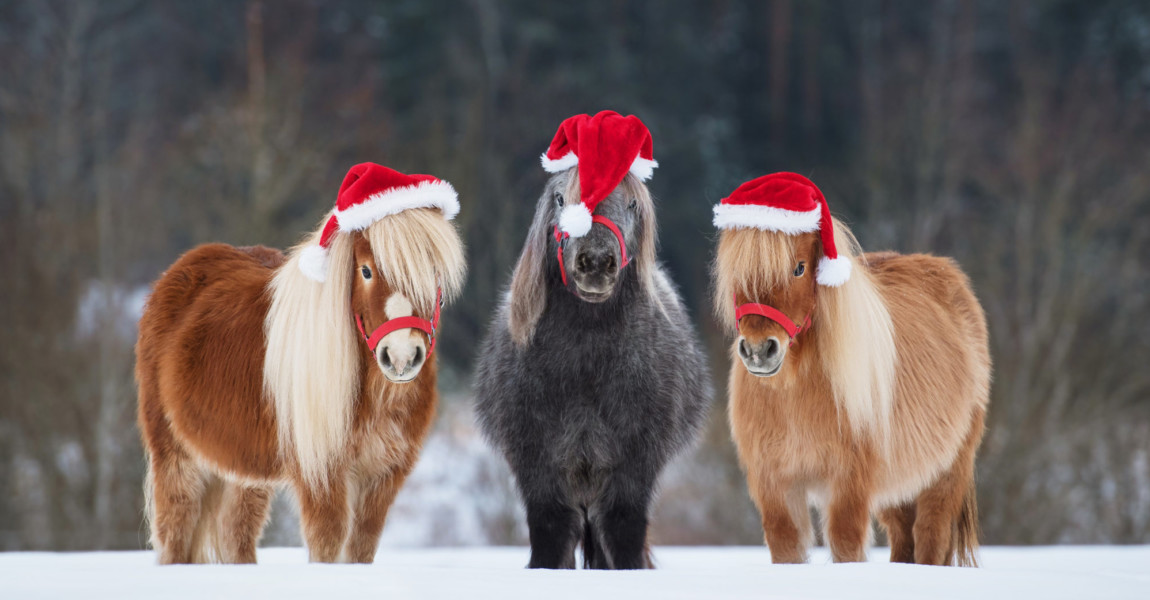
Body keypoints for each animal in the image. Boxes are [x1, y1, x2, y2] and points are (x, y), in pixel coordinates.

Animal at [708, 170, 989, 563]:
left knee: (931, 536)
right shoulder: (775, 485)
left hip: (946, 473)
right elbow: (786, 546)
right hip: (897, 489)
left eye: (799, 268)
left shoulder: (848, 484)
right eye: (737, 272)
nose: (759, 351)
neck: (795, 395)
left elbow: (845, 544)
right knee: (904, 537)